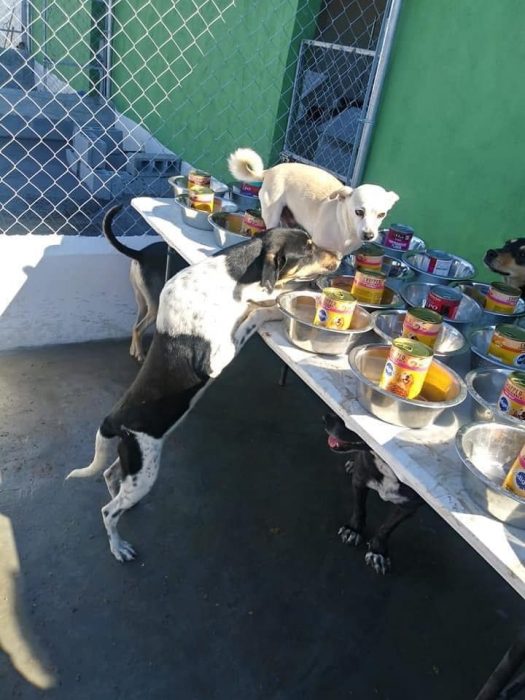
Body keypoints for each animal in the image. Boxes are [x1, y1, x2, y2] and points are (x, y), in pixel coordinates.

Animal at [66, 221, 340, 560]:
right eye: (309, 249)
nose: (340, 257)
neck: (230, 277)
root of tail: (112, 420)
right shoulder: (217, 360)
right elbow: (254, 314)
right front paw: (275, 305)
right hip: (145, 473)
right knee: (107, 511)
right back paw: (118, 547)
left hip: (138, 461)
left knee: (109, 476)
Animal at [227, 147, 400, 254]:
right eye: (359, 212)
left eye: (382, 215)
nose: (369, 235)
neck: (345, 228)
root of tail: (269, 171)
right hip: (272, 215)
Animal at [324, 412, 422, 572]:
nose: (325, 417)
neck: (387, 466)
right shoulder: (359, 480)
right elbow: (359, 509)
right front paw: (353, 530)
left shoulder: (408, 507)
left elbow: (386, 528)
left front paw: (378, 551)